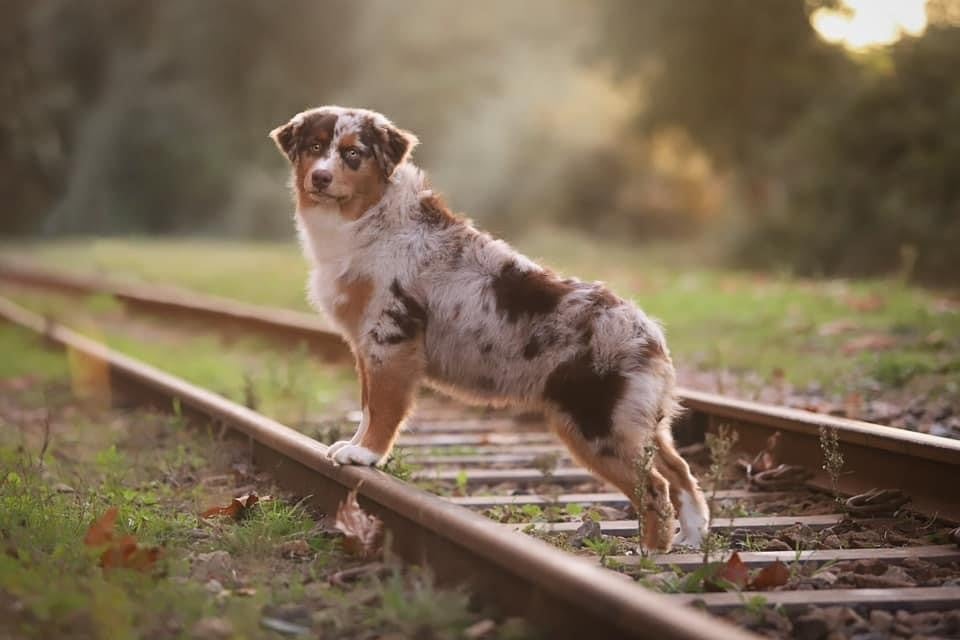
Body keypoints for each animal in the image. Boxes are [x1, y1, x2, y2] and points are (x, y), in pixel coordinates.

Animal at [266, 106, 708, 552]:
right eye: (314, 147)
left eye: (353, 153)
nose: (320, 177)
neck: (370, 219)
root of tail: (651, 335)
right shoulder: (365, 345)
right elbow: (368, 405)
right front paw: (353, 446)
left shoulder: (391, 337)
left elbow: (385, 407)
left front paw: (366, 456)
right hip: (638, 422)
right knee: (680, 470)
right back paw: (691, 538)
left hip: (599, 427)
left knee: (654, 487)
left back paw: (649, 553)